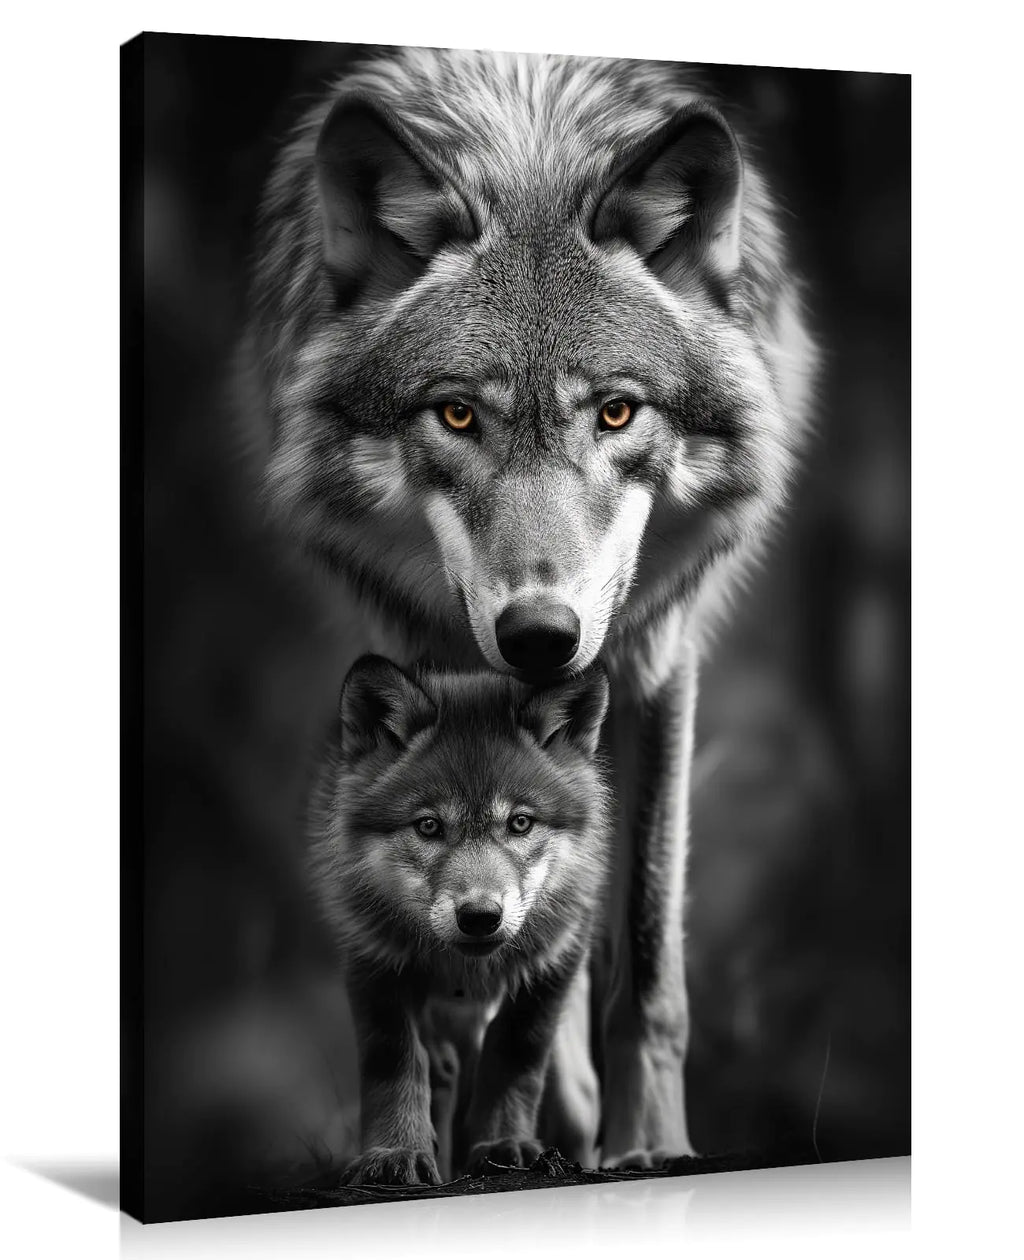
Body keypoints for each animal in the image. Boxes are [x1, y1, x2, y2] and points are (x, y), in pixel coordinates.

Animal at [308, 654, 610, 1184]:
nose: (480, 917)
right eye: (429, 826)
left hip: (571, 1077)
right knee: (442, 1069)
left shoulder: (553, 963)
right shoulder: (374, 960)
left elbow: (514, 1055)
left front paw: (503, 1144)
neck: (466, 973)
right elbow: (395, 1063)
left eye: (520, 823)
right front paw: (395, 1152)